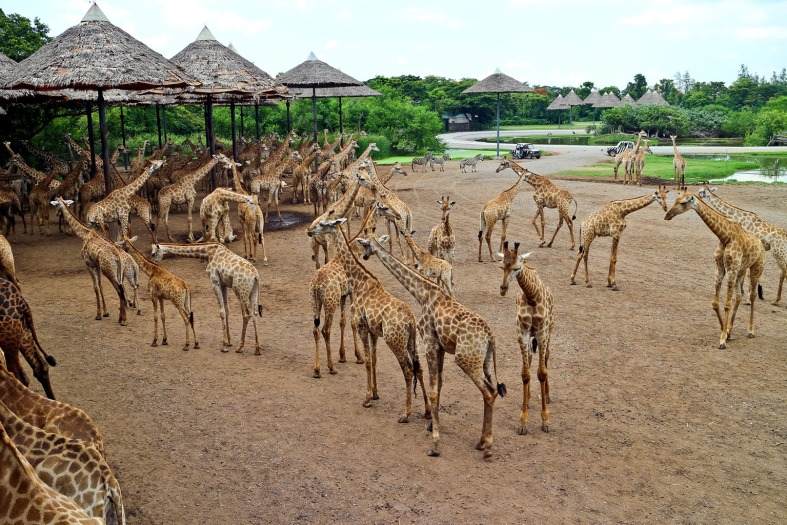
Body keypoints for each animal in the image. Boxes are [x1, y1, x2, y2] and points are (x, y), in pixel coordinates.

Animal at [307, 218, 429, 423]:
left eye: (324, 224)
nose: (310, 231)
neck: (359, 280)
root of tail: (410, 321)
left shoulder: (362, 327)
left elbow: (367, 362)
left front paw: (367, 399)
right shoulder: (373, 332)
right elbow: (374, 359)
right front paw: (375, 393)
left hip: (394, 341)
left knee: (408, 370)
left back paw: (405, 414)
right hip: (411, 340)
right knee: (418, 368)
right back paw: (427, 412)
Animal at [356, 233, 506, 458]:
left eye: (366, 245)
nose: (365, 257)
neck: (422, 294)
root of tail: (491, 337)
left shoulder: (429, 343)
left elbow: (433, 389)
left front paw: (434, 444)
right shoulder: (440, 347)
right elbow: (440, 384)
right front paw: (431, 426)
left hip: (466, 359)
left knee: (488, 392)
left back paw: (487, 447)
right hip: (486, 360)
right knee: (493, 390)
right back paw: (481, 442)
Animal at [498, 241, 554, 434]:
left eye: (516, 268)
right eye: (502, 266)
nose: (503, 289)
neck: (531, 296)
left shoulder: (542, 332)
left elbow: (542, 373)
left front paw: (545, 420)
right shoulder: (522, 333)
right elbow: (525, 374)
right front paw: (523, 421)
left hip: (550, 331)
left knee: (546, 358)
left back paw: (547, 395)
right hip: (530, 338)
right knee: (530, 359)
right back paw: (529, 397)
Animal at [665, 189, 764, 349]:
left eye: (683, 202)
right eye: (675, 199)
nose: (667, 215)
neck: (725, 237)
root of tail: (761, 243)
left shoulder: (731, 270)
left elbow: (727, 305)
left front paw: (722, 339)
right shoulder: (720, 269)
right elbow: (715, 303)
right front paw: (725, 332)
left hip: (756, 268)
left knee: (752, 296)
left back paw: (750, 331)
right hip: (741, 271)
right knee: (739, 296)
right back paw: (730, 330)